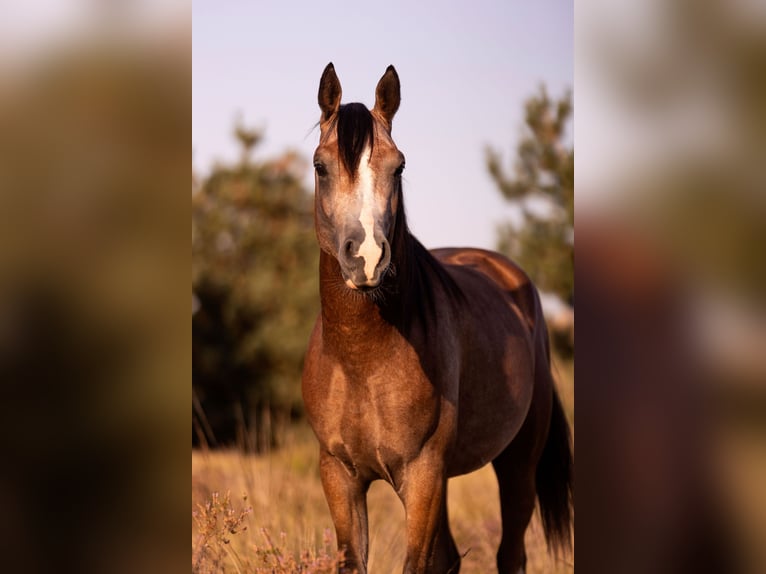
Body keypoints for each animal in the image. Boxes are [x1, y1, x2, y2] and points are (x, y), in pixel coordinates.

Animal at [304, 64, 572, 574]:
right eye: (320, 165)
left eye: (399, 166)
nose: (366, 258)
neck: (362, 359)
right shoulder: (339, 476)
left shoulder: (423, 475)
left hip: (517, 465)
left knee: (511, 553)